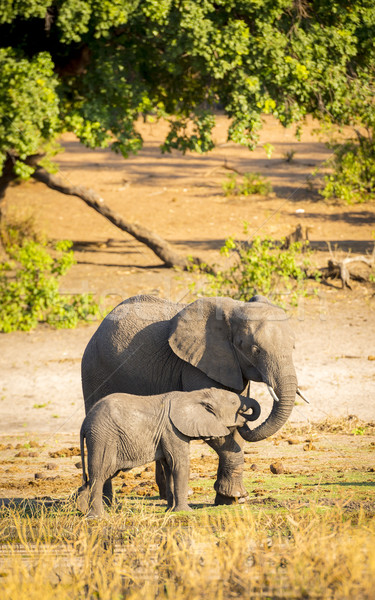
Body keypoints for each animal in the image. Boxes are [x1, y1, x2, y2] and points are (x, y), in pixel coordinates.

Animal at [77, 386, 260, 516]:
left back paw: (83, 509)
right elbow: (179, 464)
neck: (195, 395)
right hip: (103, 437)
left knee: (100, 475)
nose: (244, 417)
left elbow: (169, 467)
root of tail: (84, 424)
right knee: (99, 473)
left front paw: (170, 511)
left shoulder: (166, 433)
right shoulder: (172, 430)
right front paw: (185, 512)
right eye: (234, 402)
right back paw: (98, 517)